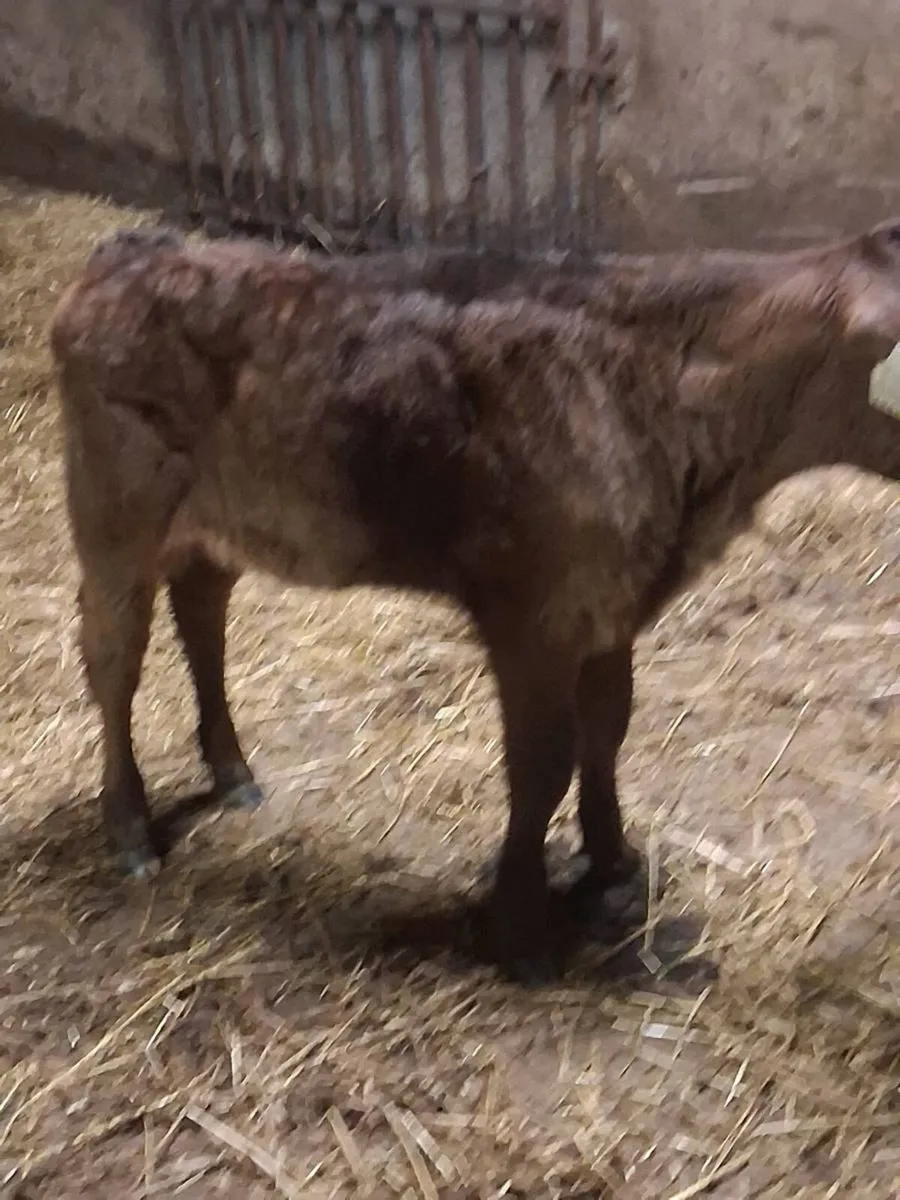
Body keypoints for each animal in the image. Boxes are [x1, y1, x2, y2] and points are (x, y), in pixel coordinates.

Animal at [49, 223, 900, 983]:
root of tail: (129, 252)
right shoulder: (531, 620)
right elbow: (541, 764)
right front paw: (520, 928)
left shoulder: (608, 608)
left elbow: (607, 732)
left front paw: (612, 865)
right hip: (114, 520)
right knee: (113, 658)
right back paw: (129, 830)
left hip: (219, 525)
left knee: (203, 616)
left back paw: (232, 772)